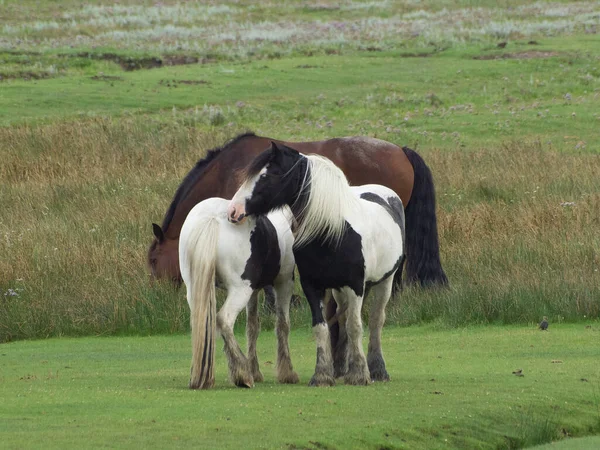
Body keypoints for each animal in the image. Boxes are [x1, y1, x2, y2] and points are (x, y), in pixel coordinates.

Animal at [179, 199, 298, 388]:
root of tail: (213, 218)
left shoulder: (254, 291)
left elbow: (252, 327)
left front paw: (256, 371)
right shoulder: (284, 283)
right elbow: (283, 324)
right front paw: (287, 373)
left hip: (196, 290)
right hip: (240, 290)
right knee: (224, 320)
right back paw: (243, 374)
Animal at [227, 143, 406, 386]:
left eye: (266, 175)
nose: (234, 210)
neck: (334, 231)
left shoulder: (355, 286)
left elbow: (355, 326)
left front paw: (360, 374)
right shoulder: (313, 287)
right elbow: (322, 328)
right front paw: (322, 374)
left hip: (384, 282)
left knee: (376, 321)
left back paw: (377, 369)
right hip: (340, 290)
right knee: (343, 319)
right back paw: (340, 367)